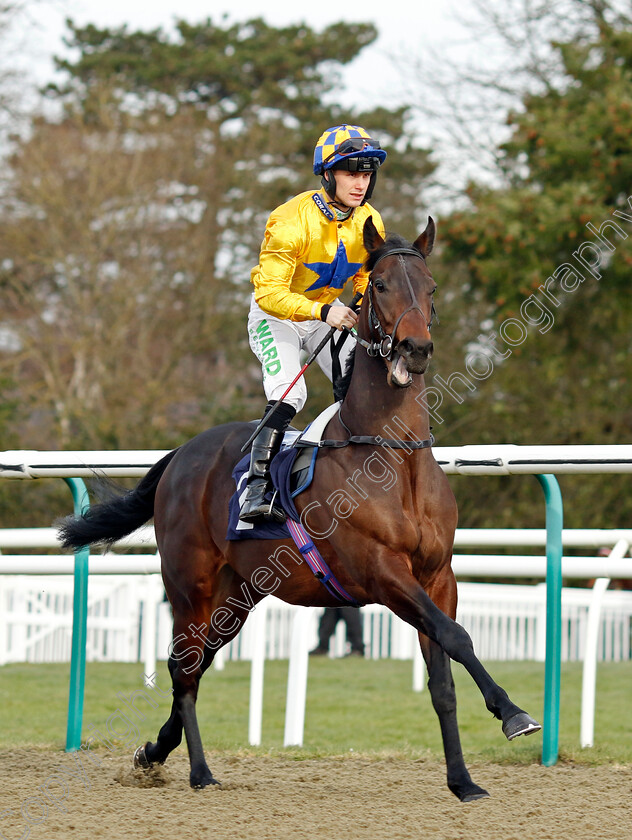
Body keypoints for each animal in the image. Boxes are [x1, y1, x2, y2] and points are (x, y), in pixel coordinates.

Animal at [58, 217, 540, 800]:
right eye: (380, 285)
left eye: (432, 288)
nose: (415, 349)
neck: (393, 458)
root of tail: (180, 454)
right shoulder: (382, 572)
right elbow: (458, 636)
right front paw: (513, 713)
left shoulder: (437, 575)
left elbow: (443, 676)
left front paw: (464, 781)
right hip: (190, 585)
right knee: (184, 668)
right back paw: (199, 771)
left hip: (237, 594)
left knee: (196, 664)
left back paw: (155, 752)